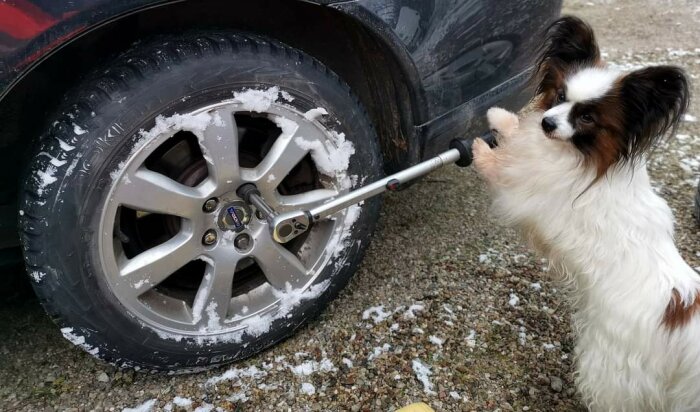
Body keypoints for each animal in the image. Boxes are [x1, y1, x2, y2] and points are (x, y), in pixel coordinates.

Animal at [470, 16, 696, 412]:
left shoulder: (523, 187)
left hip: (609, 364)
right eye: (560, 97)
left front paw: (481, 149)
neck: (579, 156)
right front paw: (501, 117)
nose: (547, 123)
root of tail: (680, 314)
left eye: (587, 117)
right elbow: (516, 132)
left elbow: (500, 166)